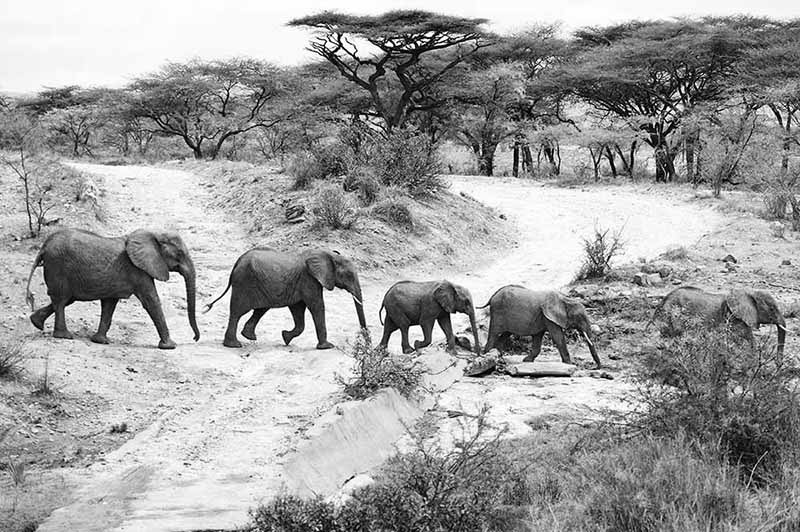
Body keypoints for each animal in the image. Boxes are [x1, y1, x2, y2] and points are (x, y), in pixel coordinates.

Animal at [25, 228, 202, 350]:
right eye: (179, 253)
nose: (194, 339)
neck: (153, 234)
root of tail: (44, 246)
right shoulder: (138, 270)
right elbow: (151, 301)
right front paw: (170, 346)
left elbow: (109, 304)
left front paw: (101, 341)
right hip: (58, 267)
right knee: (61, 300)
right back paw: (64, 336)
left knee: (64, 300)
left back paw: (36, 322)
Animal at [206, 248, 368, 350]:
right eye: (349, 275)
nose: (368, 342)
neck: (328, 254)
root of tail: (237, 262)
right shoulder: (309, 280)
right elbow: (317, 306)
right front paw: (327, 347)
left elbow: (298, 310)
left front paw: (285, 337)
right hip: (244, 283)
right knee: (237, 312)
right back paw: (234, 345)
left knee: (260, 309)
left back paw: (249, 336)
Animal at [648, 284, 788, 356]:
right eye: (772, 308)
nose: (778, 364)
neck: (748, 292)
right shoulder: (734, 318)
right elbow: (749, 340)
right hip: (670, 313)